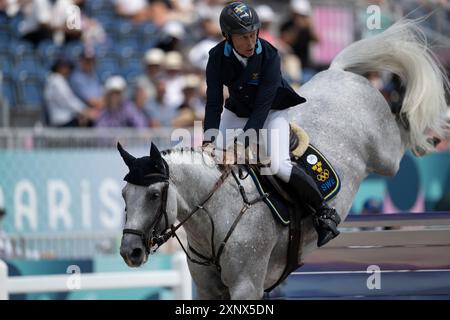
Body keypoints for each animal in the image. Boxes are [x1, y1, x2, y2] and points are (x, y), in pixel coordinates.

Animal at [118, 20, 448, 300]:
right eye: (124, 195)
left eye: (154, 195)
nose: (129, 252)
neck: (215, 213)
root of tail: (340, 73)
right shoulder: (207, 290)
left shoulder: (247, 286)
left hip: (385, 155)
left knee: (404, 131)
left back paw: (432, 130)